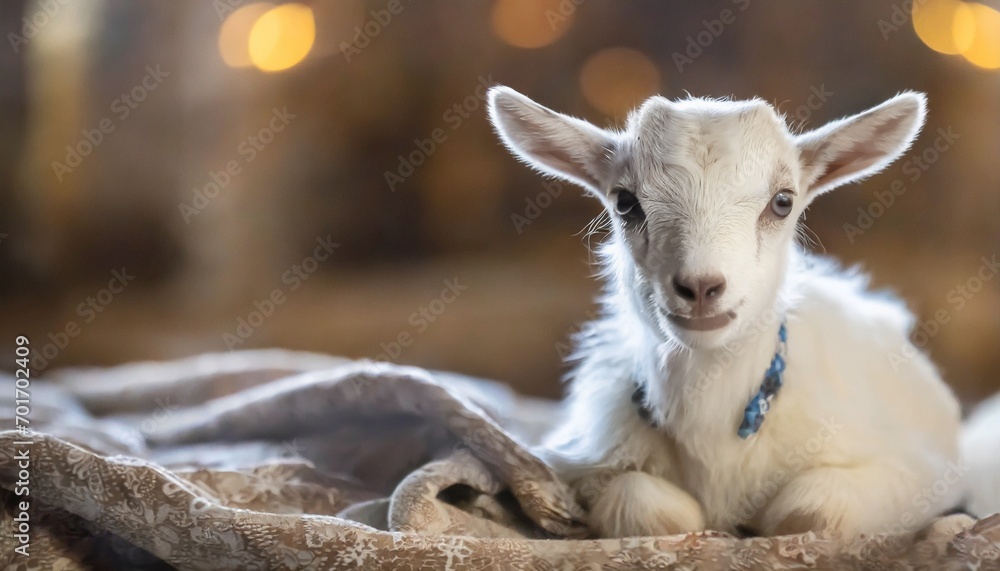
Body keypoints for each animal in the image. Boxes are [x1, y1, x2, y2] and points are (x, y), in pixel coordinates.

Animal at [487, 86, 969, 538]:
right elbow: (644, 502)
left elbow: (811, 509)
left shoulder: (920, 473)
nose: (700, 287)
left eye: (783, 201)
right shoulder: (574, 460)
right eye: (625, 202)